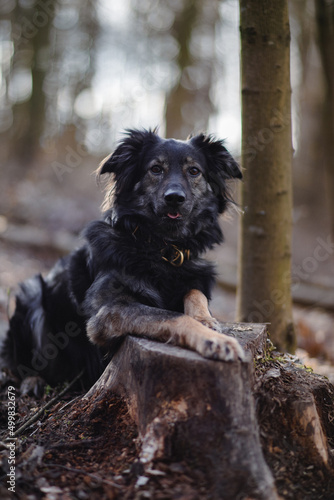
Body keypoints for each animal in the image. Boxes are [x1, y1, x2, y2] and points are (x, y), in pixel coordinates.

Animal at [1, 129, 244, 390]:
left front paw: (206, 320)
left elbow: (195, 294)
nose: (174, 198)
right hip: (32, 293)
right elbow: (172, 316)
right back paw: (32, 380)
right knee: (19, 363)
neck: (161, 248)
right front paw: (215, 341)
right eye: (155, 169)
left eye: (194, 171)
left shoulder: (192, 277)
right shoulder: (109, 311)